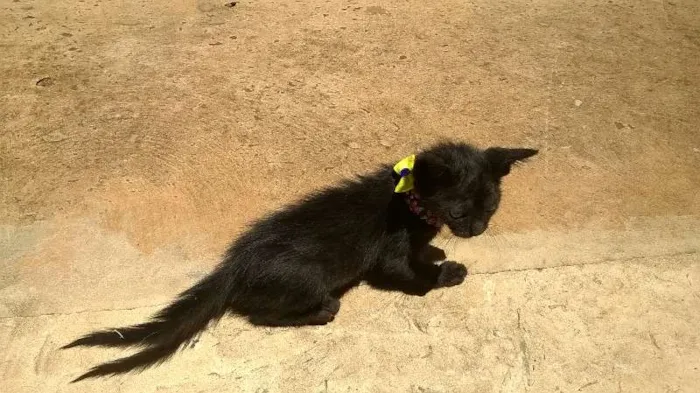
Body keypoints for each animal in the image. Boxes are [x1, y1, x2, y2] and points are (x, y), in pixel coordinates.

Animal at [64, 140, 536, 380]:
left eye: (491, 207)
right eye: (459, 212)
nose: (478, 230)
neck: (411, 205)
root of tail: (232, 265)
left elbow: (422, 253)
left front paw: (436, 252)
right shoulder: (388, 257)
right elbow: (412, 276)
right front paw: (447, 272)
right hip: (308, 279)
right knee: (262, 315)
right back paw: (322, 311)